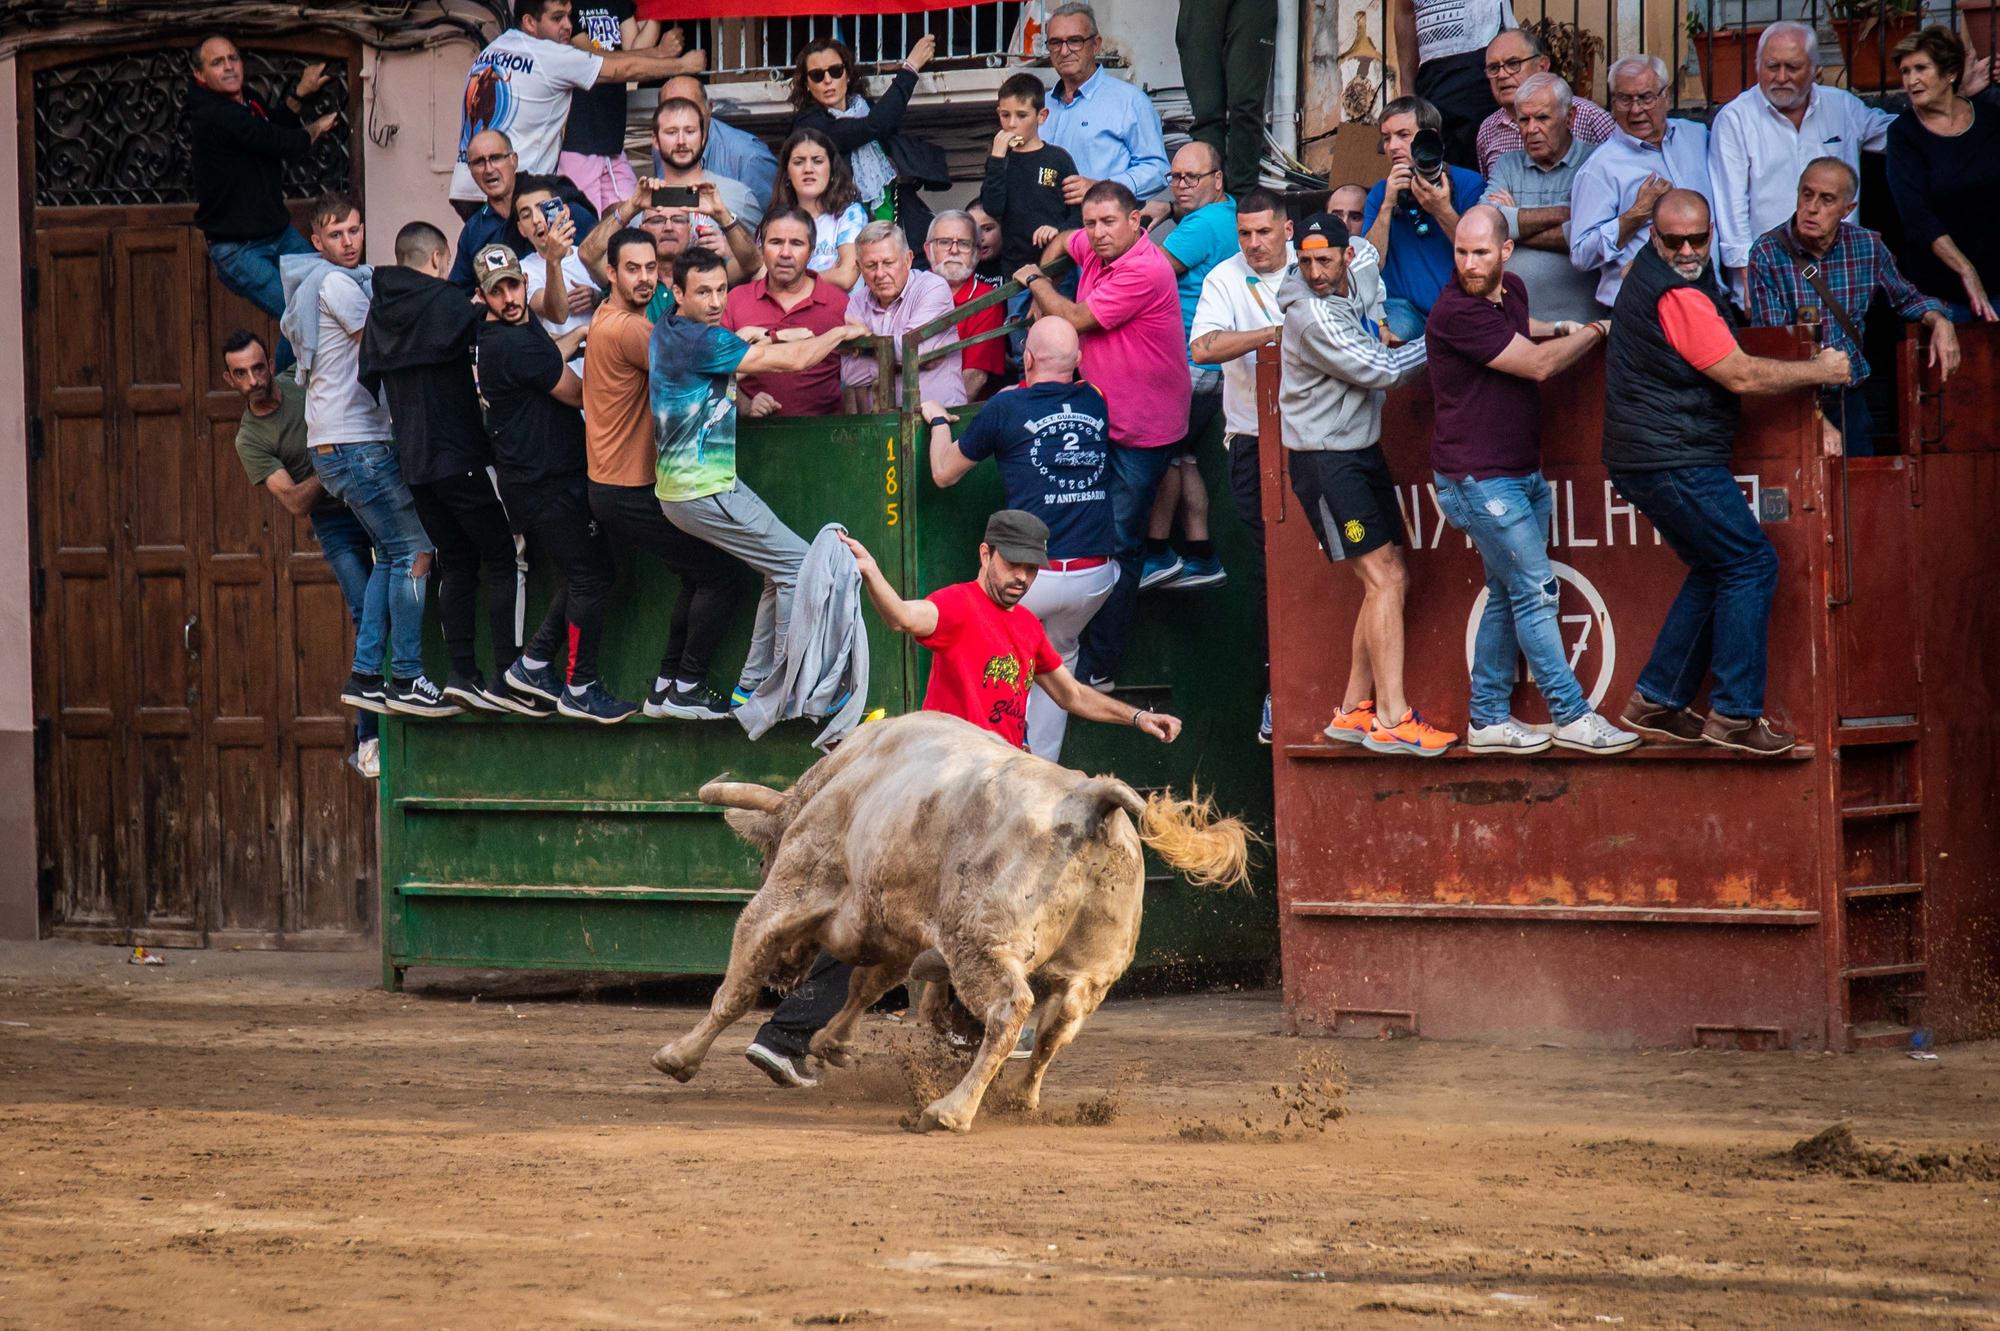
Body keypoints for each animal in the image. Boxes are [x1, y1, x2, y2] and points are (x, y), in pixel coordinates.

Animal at [652, 711, 1248, 1127]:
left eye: (762, 861)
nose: (786, 976)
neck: (843, 777)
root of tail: (1090, 795)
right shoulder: (896, 929)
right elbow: (870, 983)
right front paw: (831, 1043)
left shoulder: (789, 892)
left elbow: (737, 983)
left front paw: (679, 1056)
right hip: (1092, 973)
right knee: (1056, 1027)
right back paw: (1020, 1098)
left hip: (980, 945)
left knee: (1010, 1010)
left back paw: (950, 1110)